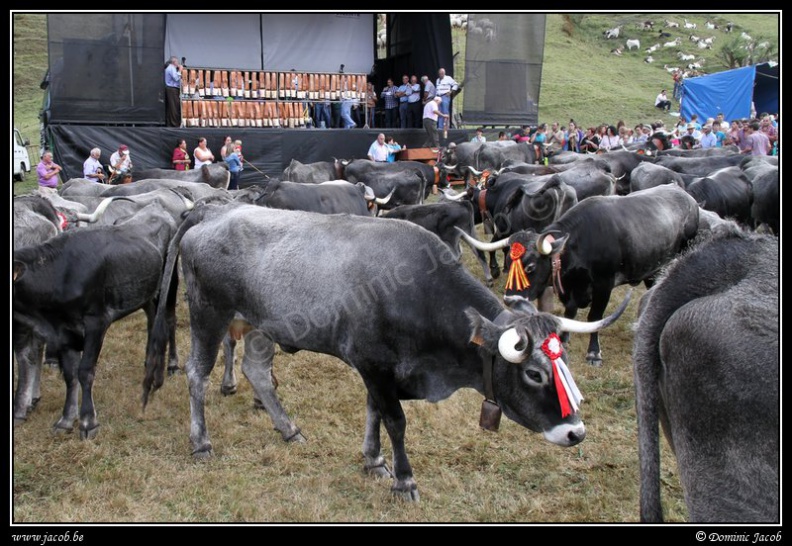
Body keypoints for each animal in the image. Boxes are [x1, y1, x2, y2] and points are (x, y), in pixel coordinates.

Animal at [14, 202, 183, 436]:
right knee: (152, 320)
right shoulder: (63, 331)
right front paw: (66, 419)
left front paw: (88, 421)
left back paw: (172, 365)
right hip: (145, 293)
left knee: (169, 320)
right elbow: (70, 374)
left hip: (170, 283)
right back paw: (150, 359)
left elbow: (85, 370)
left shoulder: (96, 322)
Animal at [458, 184, 700, 366]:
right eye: (508, 262)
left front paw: (594, 353)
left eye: (530, 267)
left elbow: (594, 317)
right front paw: (564, 339)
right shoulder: (572, 288)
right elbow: (570, 312)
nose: (509, 299)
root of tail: (686, 197)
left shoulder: (603, 284)